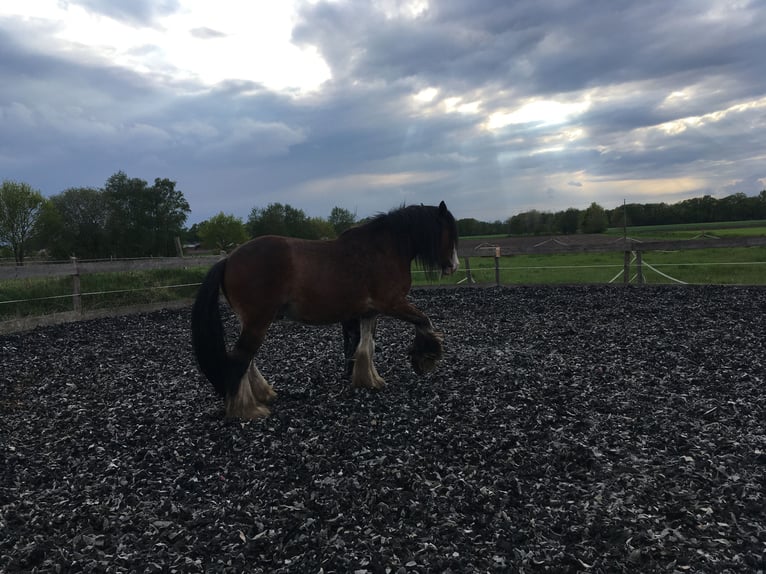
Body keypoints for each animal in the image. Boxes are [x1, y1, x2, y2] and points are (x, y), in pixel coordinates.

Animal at [191, 201, 460, 418]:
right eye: (449, 231)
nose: (454, 266)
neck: (383, 249)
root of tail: (228, 259)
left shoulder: (369, 312)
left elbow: (366, 346)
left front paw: (369, 380)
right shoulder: (392, 304)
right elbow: (424, 321)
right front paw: (425, 358)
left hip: (251, 322)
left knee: (247, 360)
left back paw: (263, 395)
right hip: (258, 321)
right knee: (240, 359)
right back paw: (247, 410)